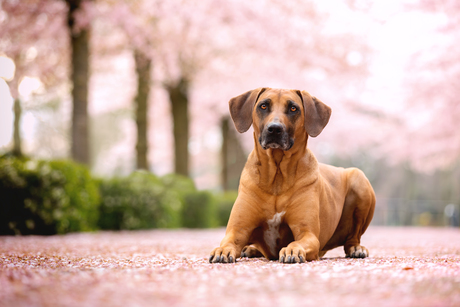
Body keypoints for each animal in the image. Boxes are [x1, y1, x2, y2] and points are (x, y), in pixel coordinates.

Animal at [210, 88, 376, 264]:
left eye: (293, 108)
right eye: (263, 106)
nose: (275, 129)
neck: (277, 177)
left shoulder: (308, 234)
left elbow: (299, 241)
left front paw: (292, 249)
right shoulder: (237, 229)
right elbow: (229, 240)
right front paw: (222, 249)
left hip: (359, 179)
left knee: (353, 237)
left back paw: (356, 248)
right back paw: (250, 249)